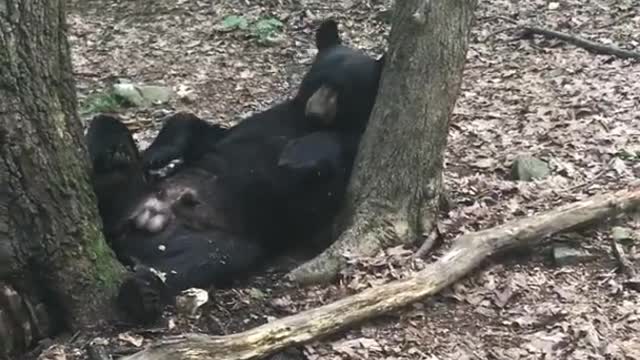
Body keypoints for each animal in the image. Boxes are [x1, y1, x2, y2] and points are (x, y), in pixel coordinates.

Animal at [85, 19, 384, 324]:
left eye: (343, 90)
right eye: (317, 79)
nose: (315, 111)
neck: (305, 123)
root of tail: (139, 223)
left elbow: (342, 152)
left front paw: (298, 153)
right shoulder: (261, 122)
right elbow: (200, 129)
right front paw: (157, 154)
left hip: (212, 237)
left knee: (210, 258)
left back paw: (142, 293)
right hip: (133, 192)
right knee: (106, 126)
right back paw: (115, 156)